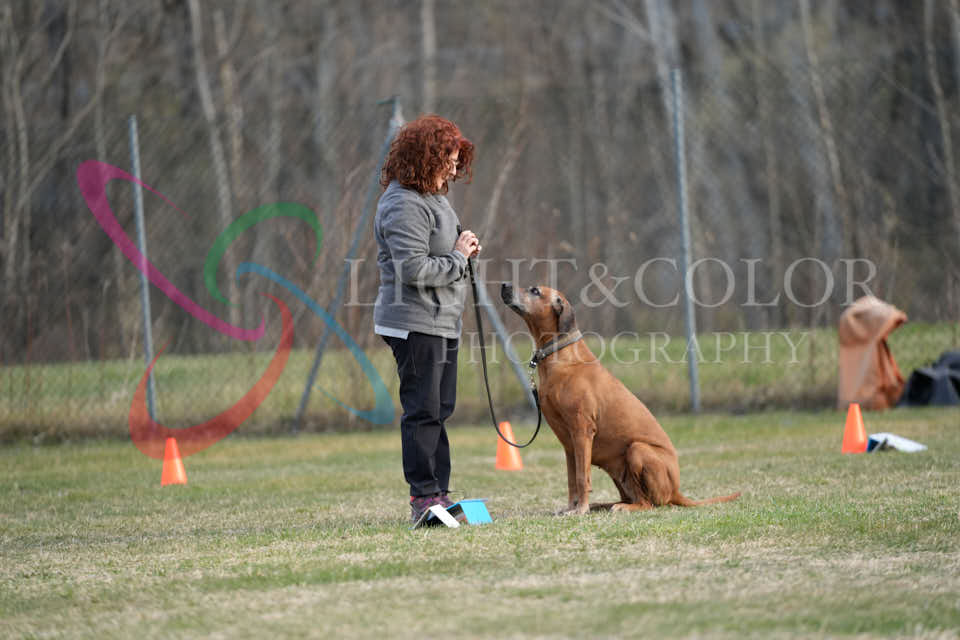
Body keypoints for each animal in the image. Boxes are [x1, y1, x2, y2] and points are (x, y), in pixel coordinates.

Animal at [501, 283, 740, 514]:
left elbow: (581, 477)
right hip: (617, 469)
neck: (562, 356)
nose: (504, 286)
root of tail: (676, 491)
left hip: (637, 450)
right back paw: (604, 505)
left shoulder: (582, 431)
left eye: (535, 291)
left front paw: (580, 509)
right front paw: (572, 507)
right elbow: (571, 480)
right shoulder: (569, 444)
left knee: (648, 503)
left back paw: (620, 507)